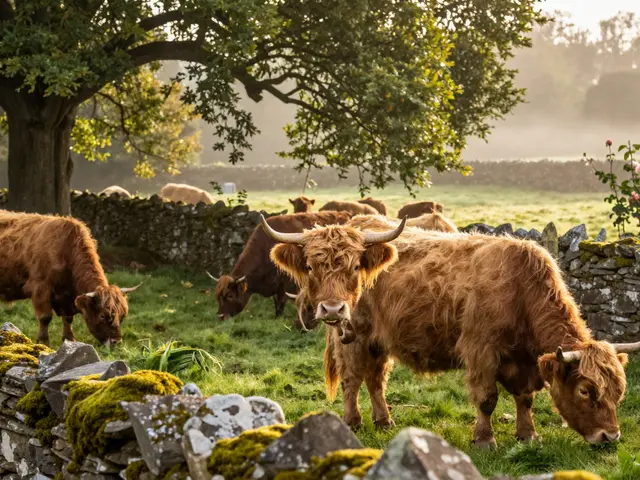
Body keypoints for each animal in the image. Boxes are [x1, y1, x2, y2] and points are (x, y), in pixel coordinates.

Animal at [0, 211, 142, 346]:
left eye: (122, 316)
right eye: (103, 315)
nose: (116, 341)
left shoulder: (67, 297)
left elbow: (68, 319)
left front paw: (69, 339)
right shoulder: (41, 287)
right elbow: (45, 317)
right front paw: (43, 342)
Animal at [261, 215, 639, 447]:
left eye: (618, 391)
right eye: (586, 391)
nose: (610, 437)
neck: (520, 290)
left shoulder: (524, 361)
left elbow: (525, 398)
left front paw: (527, 434)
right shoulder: (481, 350)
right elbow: (487, 399)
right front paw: (485, 440)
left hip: (379, 339)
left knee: (375, 379)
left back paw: (384, 421)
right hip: (353, 334)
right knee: (353, 378)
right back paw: (353, 422)